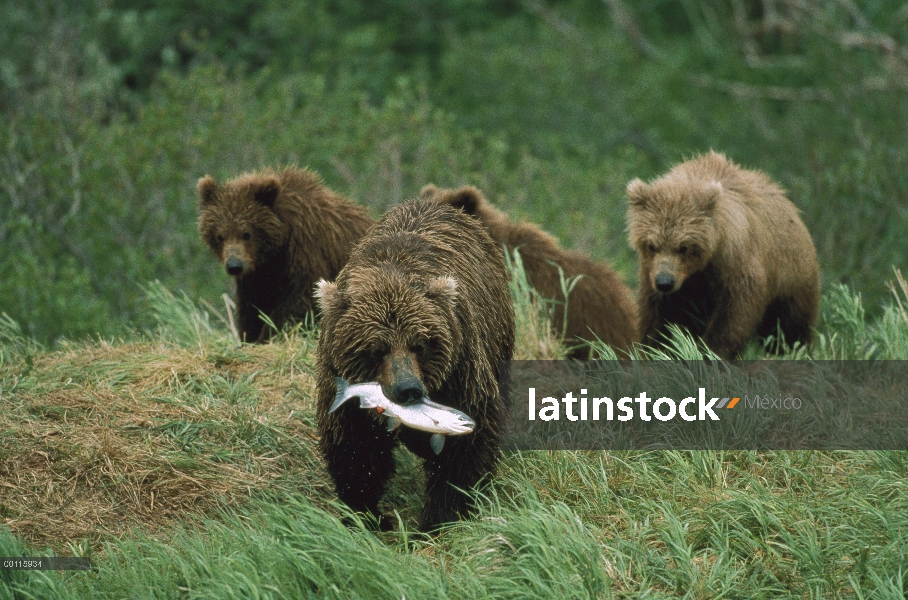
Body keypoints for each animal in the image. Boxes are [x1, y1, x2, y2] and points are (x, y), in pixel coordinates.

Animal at [198, 168, 372, 342]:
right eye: (220, 236)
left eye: (246, 234)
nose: (234, 266)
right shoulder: (256, 273)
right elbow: (252, 302)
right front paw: (250, 335)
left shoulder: (305, 249)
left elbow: (298, 297)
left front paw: (269, 334)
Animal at [314, 199, 516, 532]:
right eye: (376, 349)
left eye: (420, 345)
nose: (408, 389)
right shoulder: (341, 386)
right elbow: (355, 450)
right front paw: (366, 514)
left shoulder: (460, 371)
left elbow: (463, 455)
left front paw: (441, 518)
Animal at [628, 152, 820, 358]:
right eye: (651, 245)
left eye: (683, 247)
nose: (665, 282)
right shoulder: (657, 275)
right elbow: (657, 317)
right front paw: (656, 348)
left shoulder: (733, 261)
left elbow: (733, 314)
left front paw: (709, 350)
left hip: (791, 279)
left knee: (788, 327)